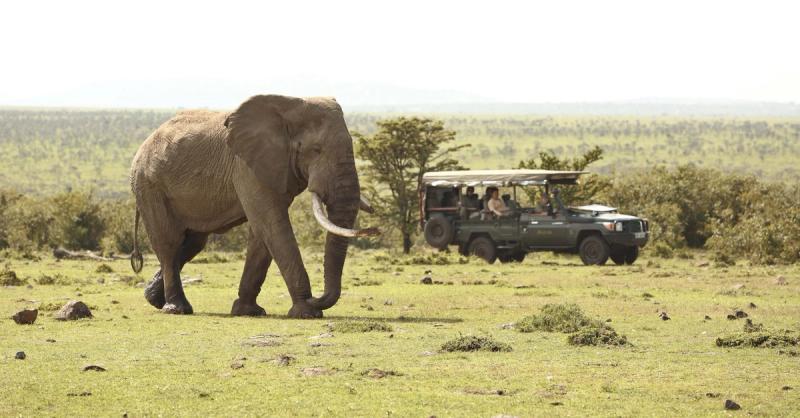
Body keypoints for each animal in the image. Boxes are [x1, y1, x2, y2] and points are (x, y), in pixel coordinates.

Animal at [128, 94, 378, 318]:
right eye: (315, 150)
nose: (315, 297)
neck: (291, 105)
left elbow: (262, 233)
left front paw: (248, 312)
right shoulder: (246, 167)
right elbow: (272, 225)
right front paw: (307, 312)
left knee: (192, 244)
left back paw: (153, 299)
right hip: (149, 185)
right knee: (169, 243)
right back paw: (177, 309)